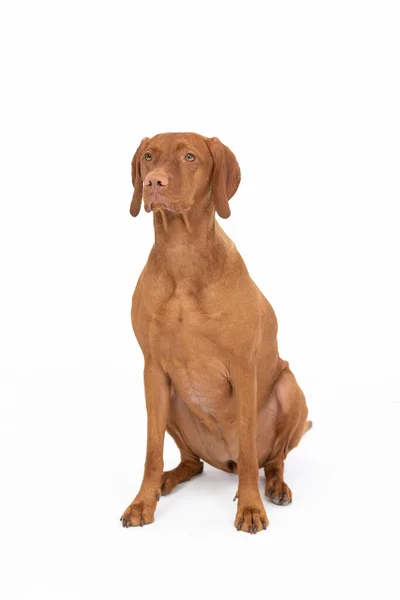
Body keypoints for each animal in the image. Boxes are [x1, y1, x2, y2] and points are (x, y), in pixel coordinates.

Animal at [120, 132, 310, 536]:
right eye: (148, 157)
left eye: (190, 157)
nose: (153, 182)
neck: (182, 256)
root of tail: (225, 463)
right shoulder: (152, 370)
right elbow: (151, 452)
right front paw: (143, 501)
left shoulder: (243, 369)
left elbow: (251, 451)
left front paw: (251, 508)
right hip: (171, 399)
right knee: (192, 463)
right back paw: (166, 481)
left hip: (291, 391)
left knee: (271, 460)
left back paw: (275, 486)